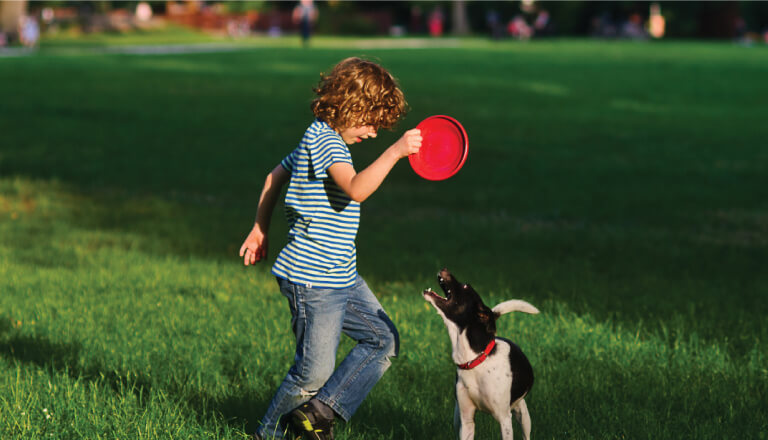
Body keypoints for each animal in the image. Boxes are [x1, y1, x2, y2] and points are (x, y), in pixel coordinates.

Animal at [420, 268, 540, 440]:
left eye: (465, 286)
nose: (444, 269)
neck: (475, 359)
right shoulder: (466, 420)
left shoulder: (505, 419)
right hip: (457, 417)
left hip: (522, 413)